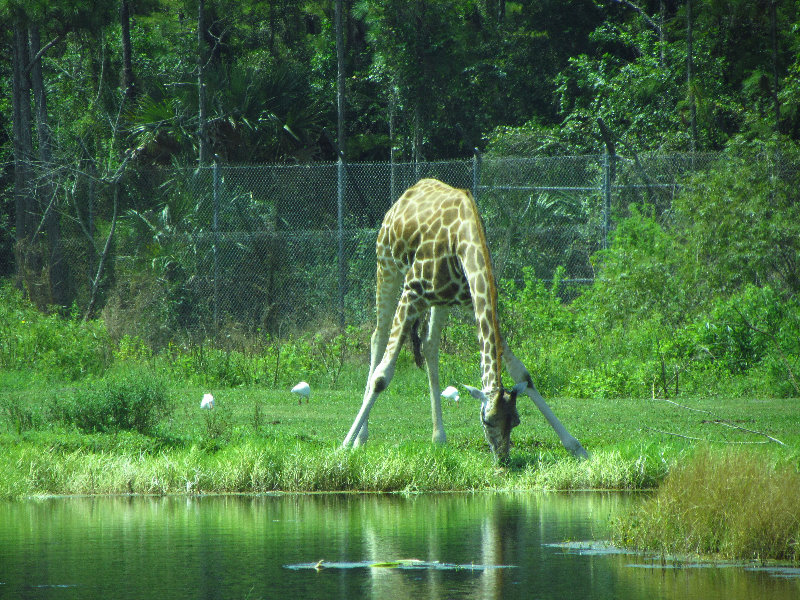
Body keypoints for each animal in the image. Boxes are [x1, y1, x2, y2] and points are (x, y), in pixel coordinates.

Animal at [340, 178, 592, 464]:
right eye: (488, 421)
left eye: (515, 421)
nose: (503, 459)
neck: (462, 242)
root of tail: (404, 197)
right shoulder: (412, 293)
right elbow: (382, 376)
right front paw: (343, 447)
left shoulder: (471, 300)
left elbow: (522, 374)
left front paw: (576, 447)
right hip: (387, 266)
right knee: (378, 338)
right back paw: (361, 438)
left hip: (440, 301)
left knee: (429, 345)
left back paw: (439, 438)